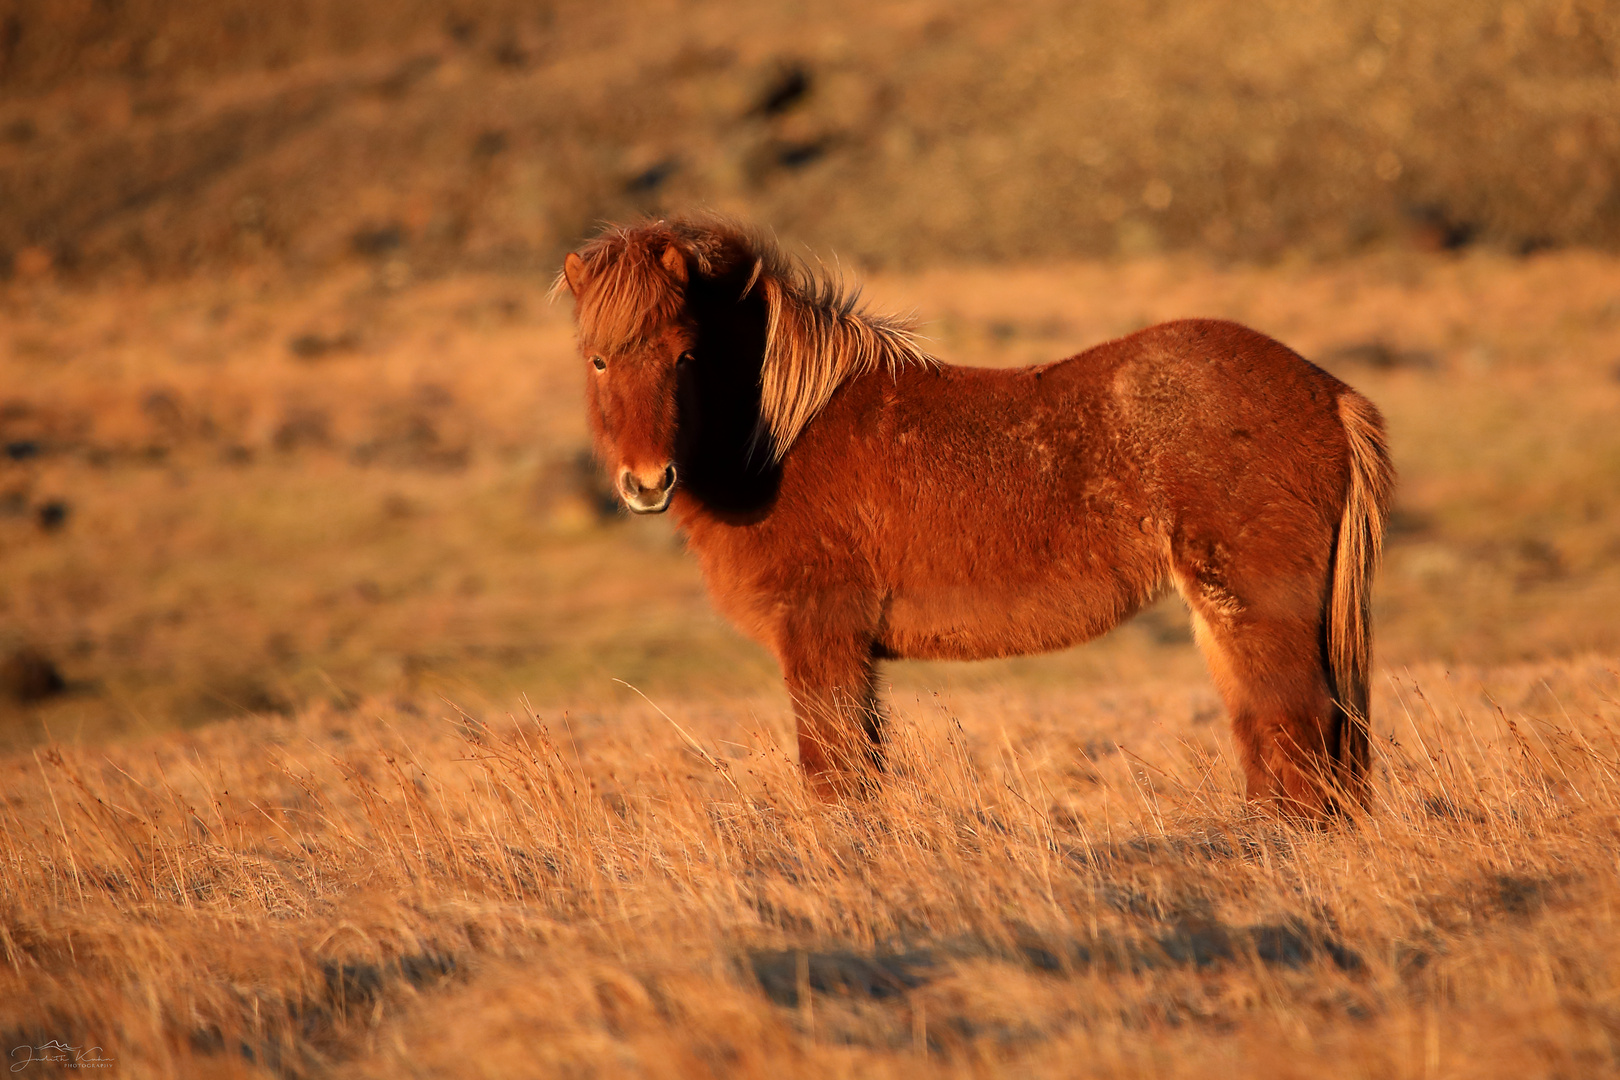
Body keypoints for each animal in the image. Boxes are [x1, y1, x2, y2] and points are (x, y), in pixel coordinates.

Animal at [557, 215, 1393, 816]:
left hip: (1258, 609)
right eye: (597, 359)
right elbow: (859, 769)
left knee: (1299, 737)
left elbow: (834, 776)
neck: (786, 436)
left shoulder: (820, 635)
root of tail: (1325, 391)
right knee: (1270, 740)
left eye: (685, 355)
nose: (647, 483)